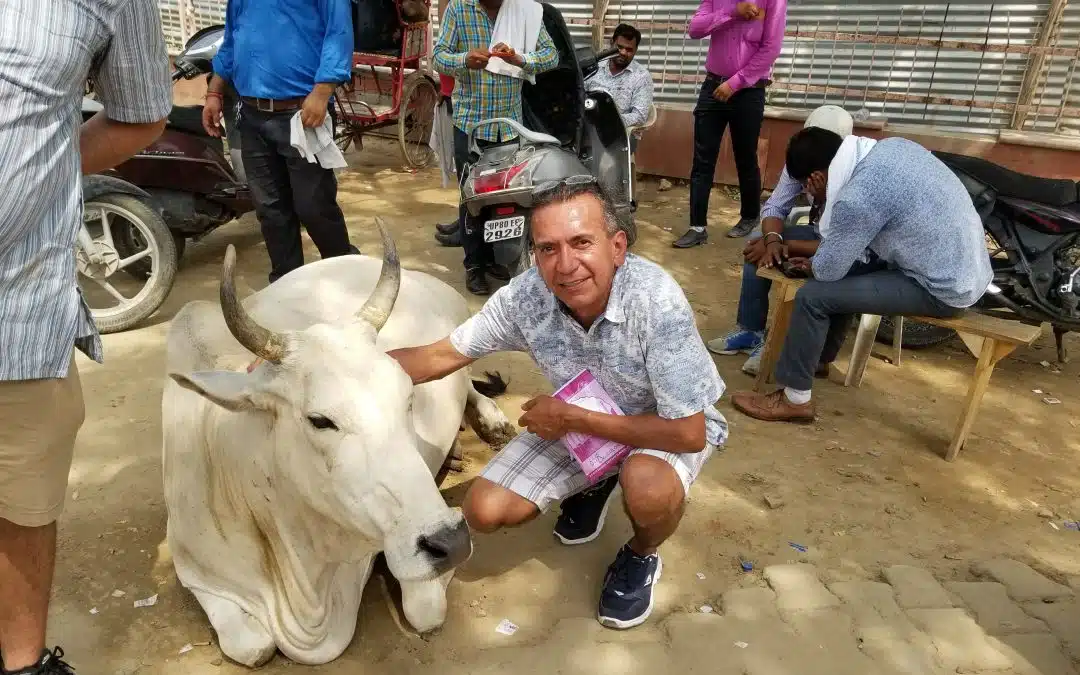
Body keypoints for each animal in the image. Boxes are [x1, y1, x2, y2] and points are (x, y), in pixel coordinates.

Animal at [161, 218, 515, 667]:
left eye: (408, 398)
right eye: (319, 420)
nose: (449, 542)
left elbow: (424, 612)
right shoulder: (194, 570)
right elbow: (251, 647)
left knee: (469, 380)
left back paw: (492, 422)